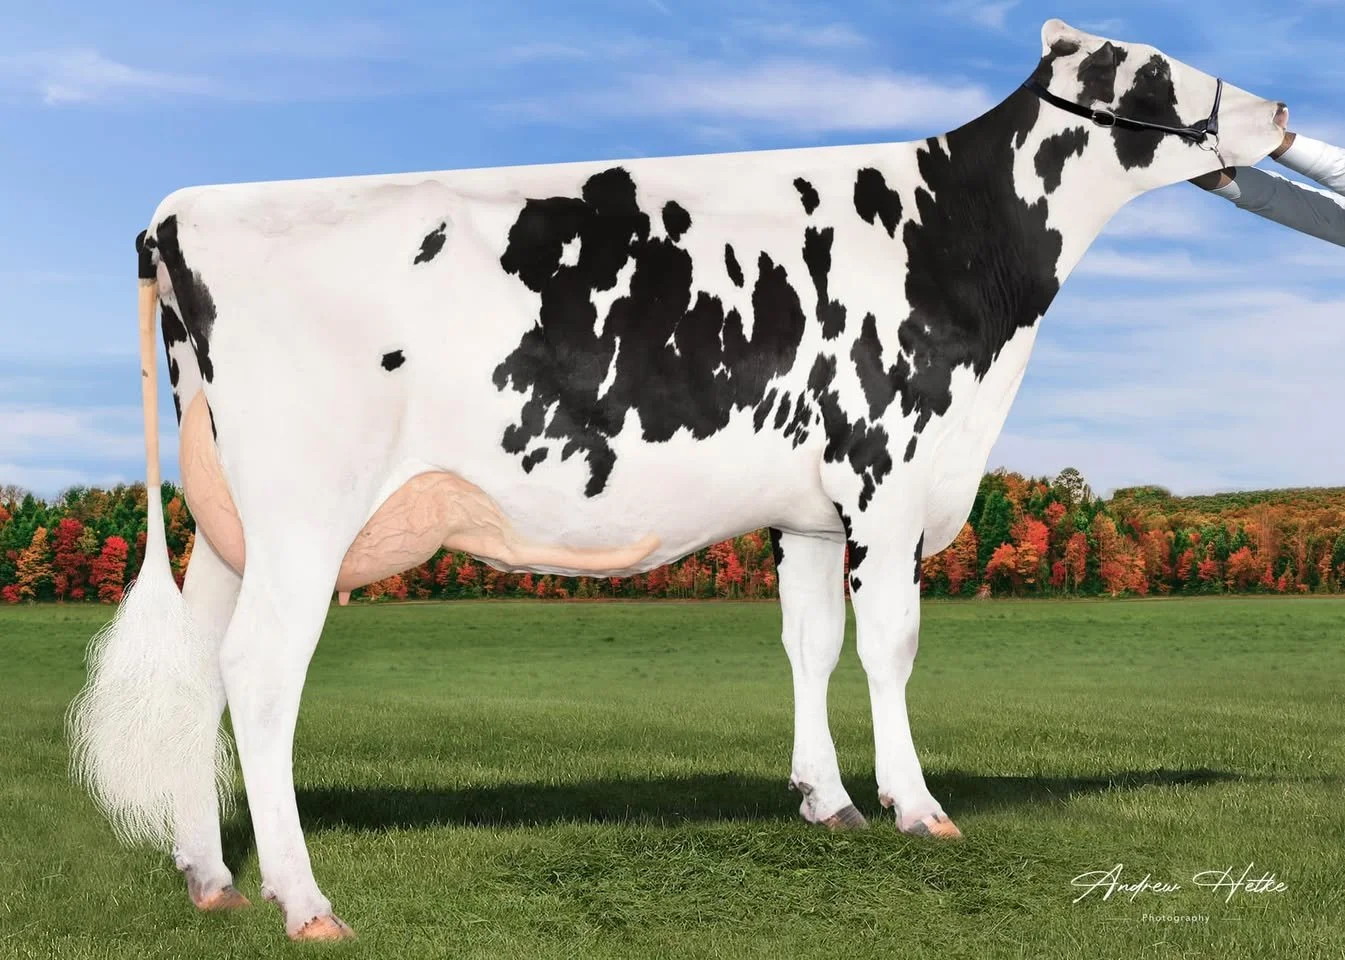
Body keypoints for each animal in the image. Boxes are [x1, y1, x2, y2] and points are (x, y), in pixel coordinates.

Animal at [67, 19, 1288, 941]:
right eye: (1157, 69)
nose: (1277, 111)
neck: (960, 244)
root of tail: (183, 208)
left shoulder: (809, 510)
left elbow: (811, 643)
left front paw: (828, 801)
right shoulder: (887, 477)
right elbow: (888, 647)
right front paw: (916, 806)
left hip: (230, 523)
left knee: (201, 667)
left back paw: (208, 877)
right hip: (304, 512)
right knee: (259, 674)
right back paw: (304, 901)